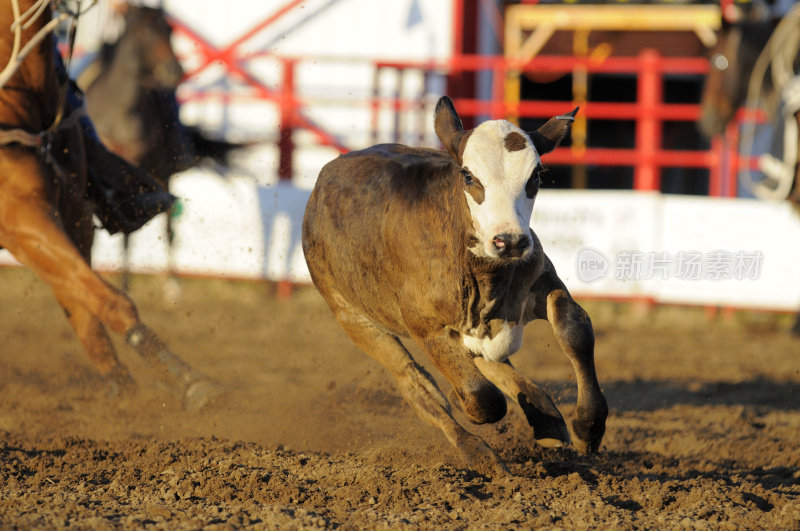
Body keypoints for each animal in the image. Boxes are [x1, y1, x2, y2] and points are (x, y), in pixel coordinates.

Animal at [0, 0, 220, 408]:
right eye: (145, 31)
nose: (173, 72)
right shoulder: (23, 221)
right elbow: (109, 300)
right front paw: (191, 382)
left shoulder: (73, 217)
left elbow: (84, 304)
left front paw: (125, 392)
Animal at [300, 95, 608, 474]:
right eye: (469, 175)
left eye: (535, 175)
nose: (510, 241)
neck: (483, 274)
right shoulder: (424, 326)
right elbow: (481, 397)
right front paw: (468, 408)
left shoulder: (541, 280)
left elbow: (574, 329)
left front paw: (589, 426)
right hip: (350, 315)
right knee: (417, 385)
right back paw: (480, 452)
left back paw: (545, 418)